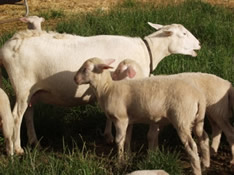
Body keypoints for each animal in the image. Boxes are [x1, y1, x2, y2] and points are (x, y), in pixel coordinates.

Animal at [0, 21, 201, 154]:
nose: (199, 44)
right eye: (183, 34)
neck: (147, 51)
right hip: (22, 86)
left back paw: (34, 142)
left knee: (28, 114)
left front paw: (108, 135)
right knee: (16, 117)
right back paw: (16, 149)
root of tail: (9, 45)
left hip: (31, 91)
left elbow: (109, 114)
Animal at [74, 57, 210, 175]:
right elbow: (127, 139)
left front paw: (120, 162)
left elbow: (119, 140)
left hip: (182, 119)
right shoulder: (128, 120)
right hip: (195, 119)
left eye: (85, 69)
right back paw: (205, 164)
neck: (106, 89)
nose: (75, 79)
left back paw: (196, 170)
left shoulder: (120, 119)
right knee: (203, 137)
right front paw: (128, 157)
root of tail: (199, 96)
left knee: (191, 146)